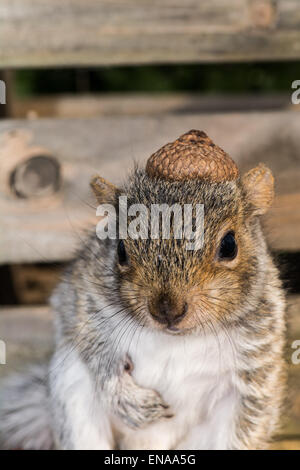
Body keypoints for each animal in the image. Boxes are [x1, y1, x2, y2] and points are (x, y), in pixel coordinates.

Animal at [0, 131, 286, 448]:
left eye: (229, 245)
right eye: (121, 250)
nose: (167, 310)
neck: (176, 339)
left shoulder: (255, 363)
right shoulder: (82, 294)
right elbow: (91, 340)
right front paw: (128, 400)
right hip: (71, 384)